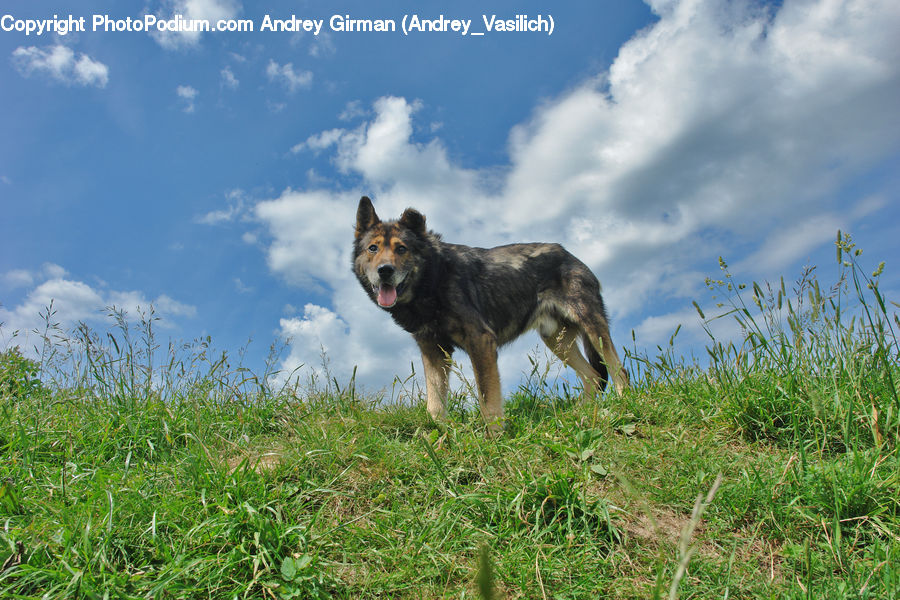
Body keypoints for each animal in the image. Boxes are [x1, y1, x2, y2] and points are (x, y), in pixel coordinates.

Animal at [353, 196, 629, 433]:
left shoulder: (481, 341)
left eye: (401, 249)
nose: (385, 271)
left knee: (618, 370)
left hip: (592, 327)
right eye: (372, 248)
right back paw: (579, 413)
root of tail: (570, 255)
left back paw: (623, 405)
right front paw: (437, 435)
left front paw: (494, 438)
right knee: (593, 376)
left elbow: (488, 398)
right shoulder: (432, 350)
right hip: (558, 341)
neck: (433, 278)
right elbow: (435, 402)